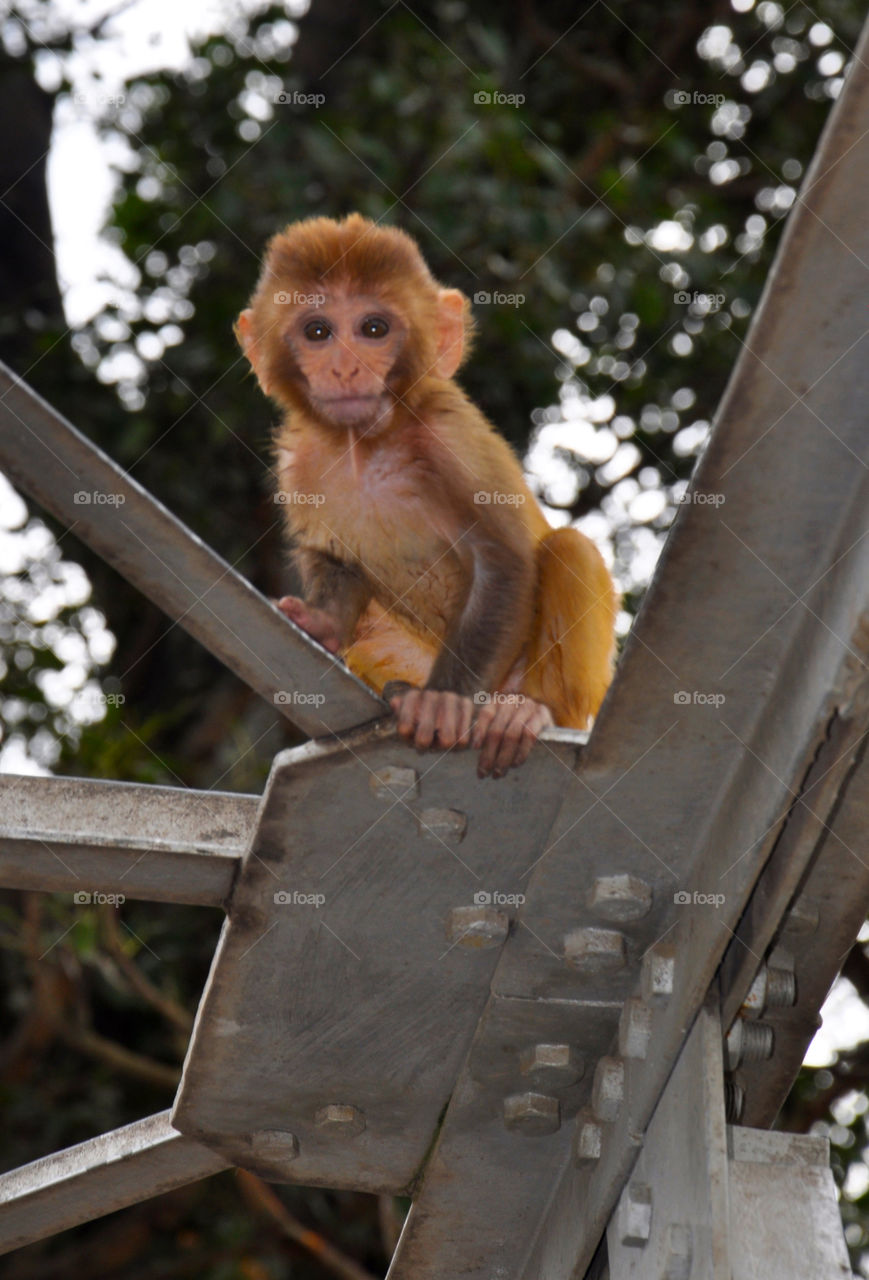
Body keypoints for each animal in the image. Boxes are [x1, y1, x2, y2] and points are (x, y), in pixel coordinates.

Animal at [238, 213, 619, 773]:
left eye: (373, 329)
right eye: (317, 332)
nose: (345, 368)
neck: (367, 445)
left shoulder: (448, 437)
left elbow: (503, 562)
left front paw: (443, 701)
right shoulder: (298, 463)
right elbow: (333, 557)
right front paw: (322, 622)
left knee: (569, 549)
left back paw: (527, 711)